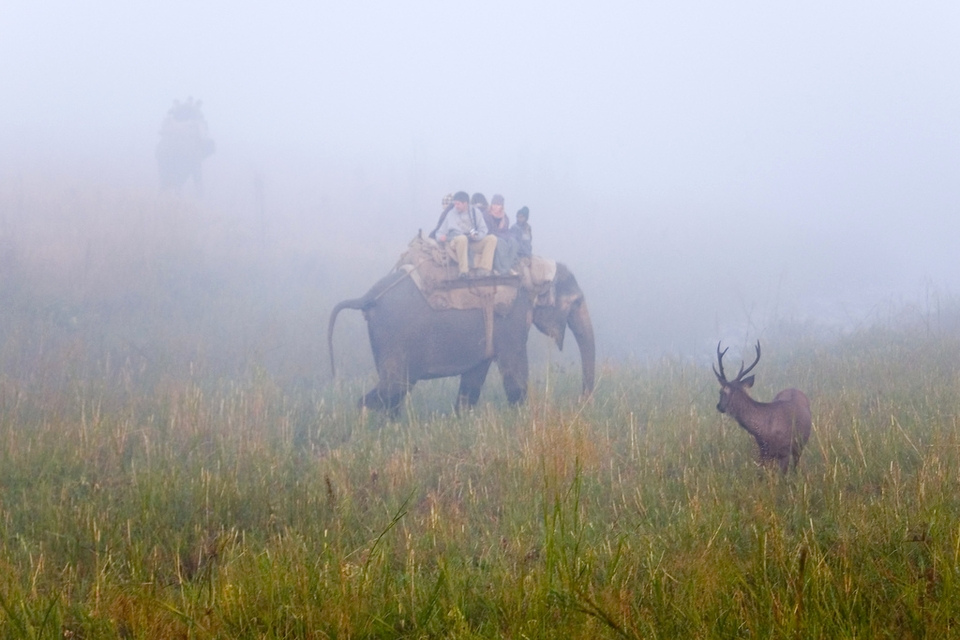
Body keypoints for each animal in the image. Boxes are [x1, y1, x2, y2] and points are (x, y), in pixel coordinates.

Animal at [332, 262, 600, 416]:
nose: (582, 402)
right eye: (576, 302)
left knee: (394, 393)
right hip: (394, 338)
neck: (531, 269)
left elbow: (474, 378)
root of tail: (367, 297)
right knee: (394, 387)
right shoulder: (511, 320)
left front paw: (462, 418)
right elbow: (514, 375)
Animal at [712, 342, 808, 472]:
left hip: (799, 446)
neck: (765, 431)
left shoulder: (785, 451)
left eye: (721, 392)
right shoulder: (763, 451)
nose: (719, 406)